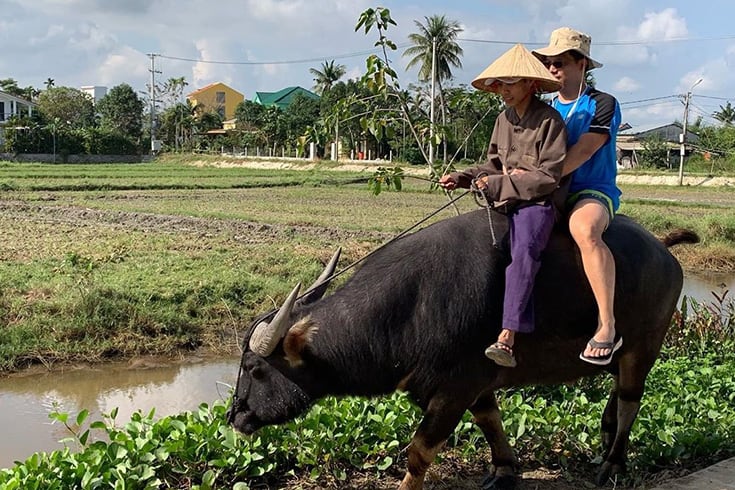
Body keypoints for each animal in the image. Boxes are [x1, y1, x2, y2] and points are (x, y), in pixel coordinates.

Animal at [227, 209, 700, 488]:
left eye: (254, 368)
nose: (235, 416)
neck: (412, 305)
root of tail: (663, 249)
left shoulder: (454, 388)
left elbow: (419, 450)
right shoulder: (474, 384)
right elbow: (490, 420)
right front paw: (504, 470)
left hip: (644, 347)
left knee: (630, 400)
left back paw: (614, 464)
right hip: (619, 357)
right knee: (616, 396)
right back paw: (604, 443)